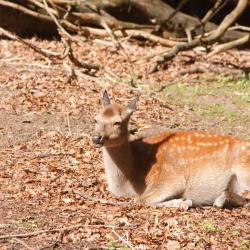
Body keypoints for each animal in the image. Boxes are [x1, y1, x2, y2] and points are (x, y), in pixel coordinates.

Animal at [92, 91, 250, 209]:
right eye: (96, 119)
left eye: (117, 122)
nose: (96, 137)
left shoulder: (170, 177)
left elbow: (140, 200)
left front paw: (183, 202)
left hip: (244, 171)